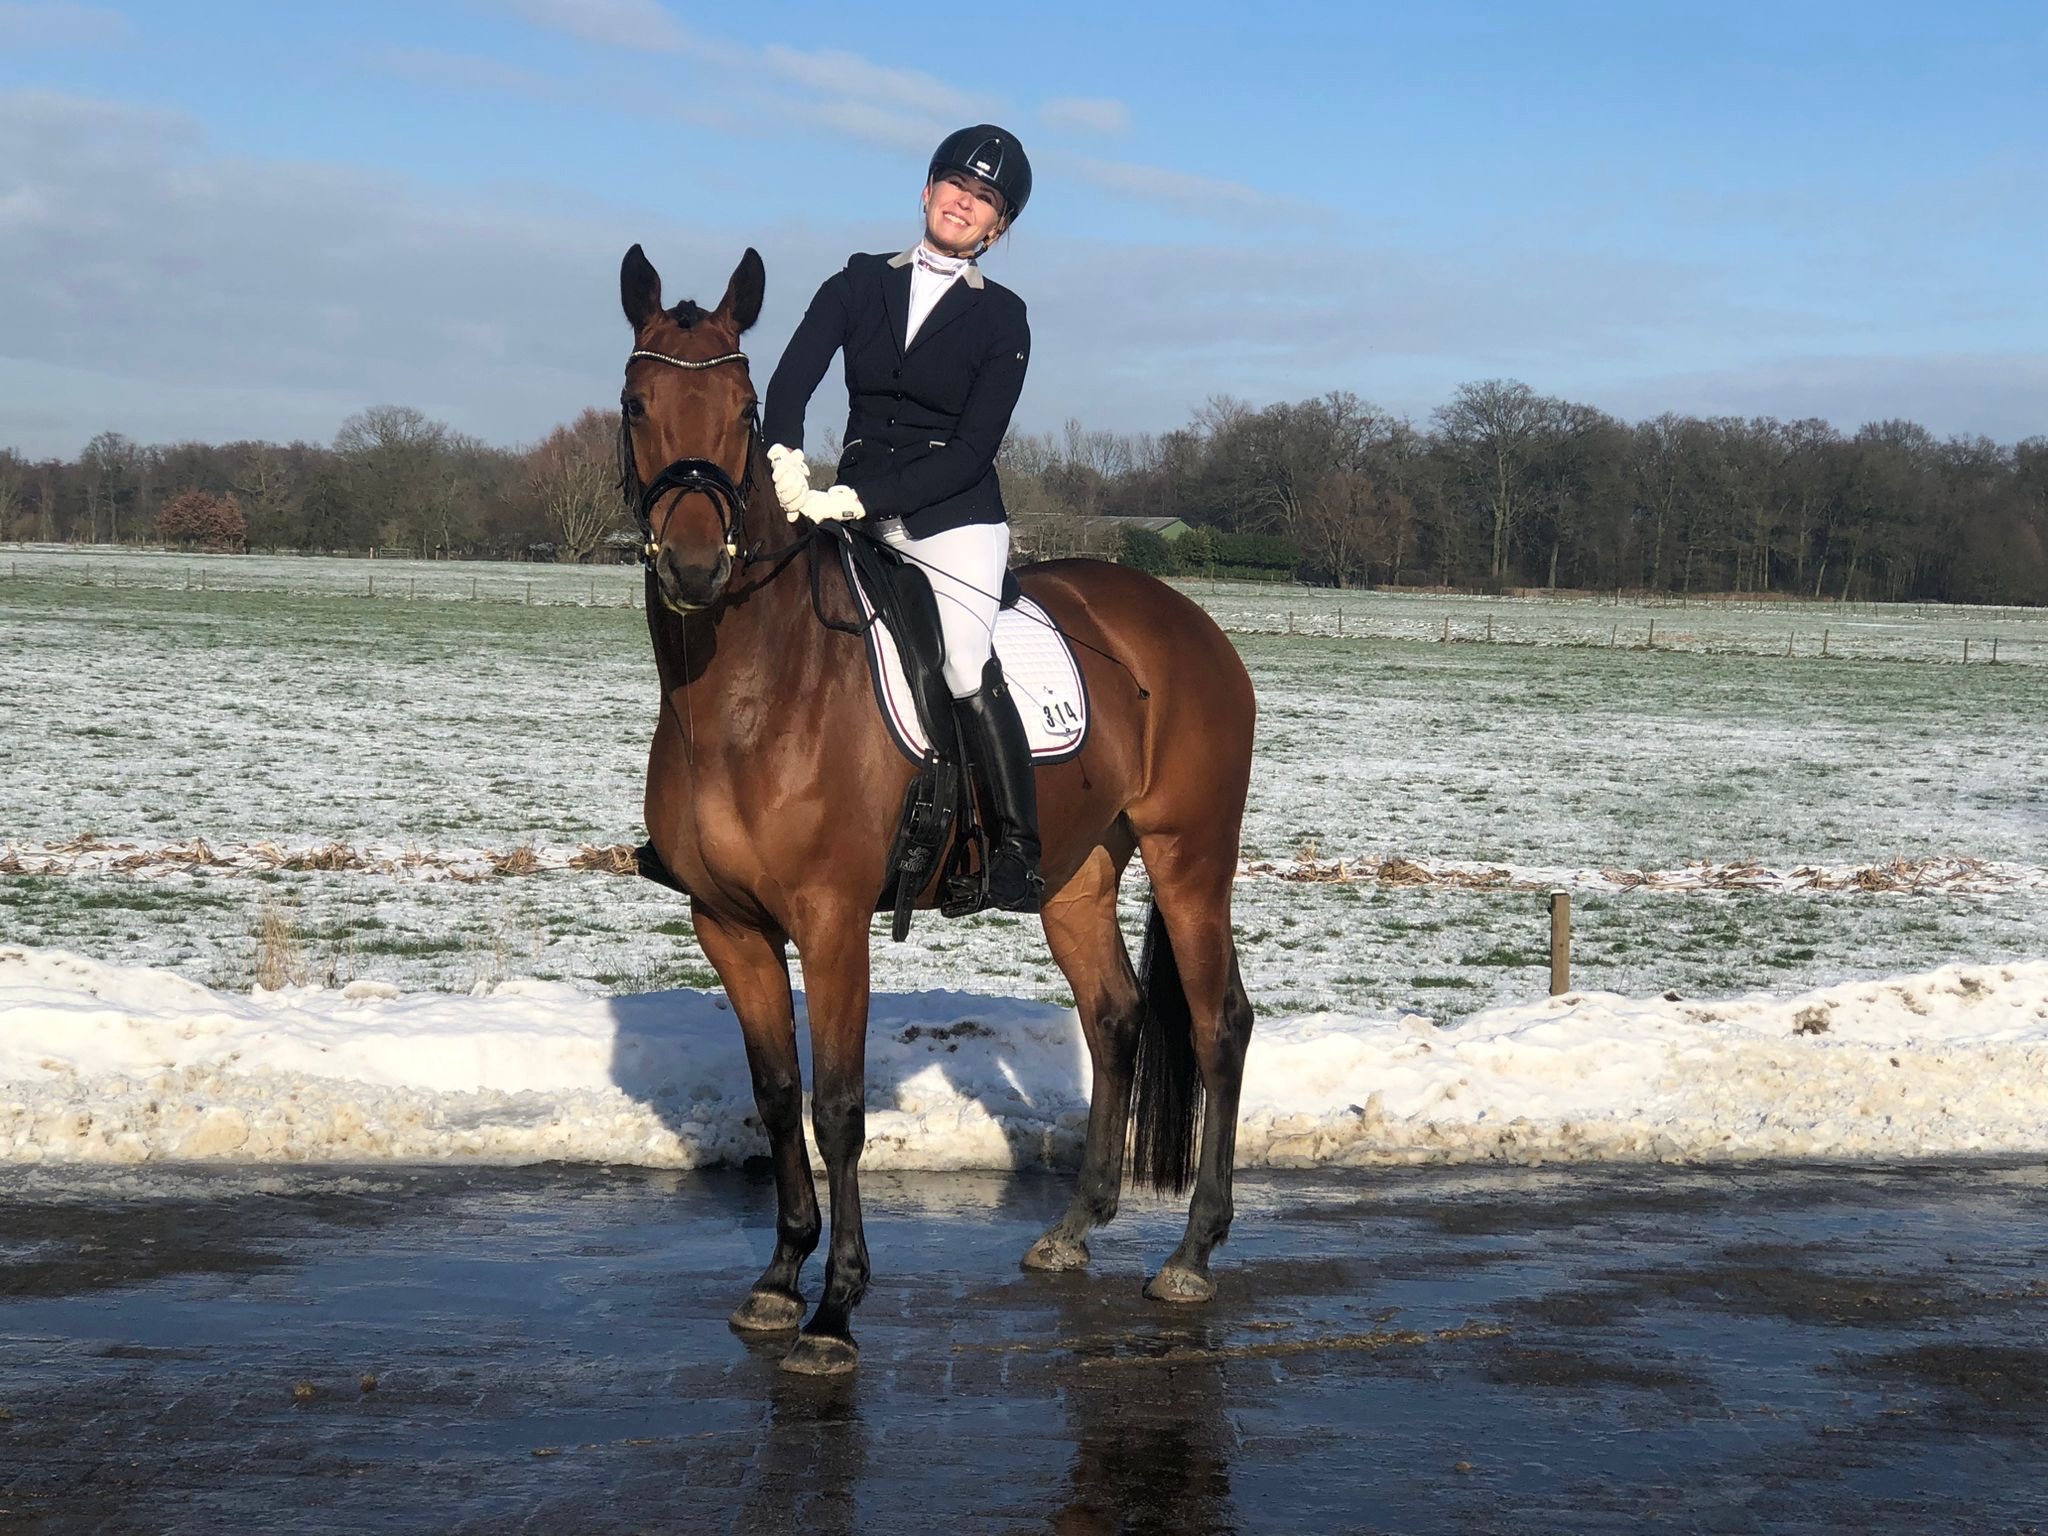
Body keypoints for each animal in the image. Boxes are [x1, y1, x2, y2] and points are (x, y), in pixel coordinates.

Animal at [618, 244, 1257, 1375]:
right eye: (636, 402)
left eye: (742, 411)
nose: (695, 564)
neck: (746, 692)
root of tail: (1185, 619)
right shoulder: (726, 924)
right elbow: (775, 1096)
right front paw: (779, 1279)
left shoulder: (831, 922)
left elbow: (835, 1105)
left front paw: (836, 1311)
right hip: (1075, 876)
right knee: (1115, 1018)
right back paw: (1073, 1230)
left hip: (1191, 857)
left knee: (1218, 1023)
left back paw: (1190, 1256)